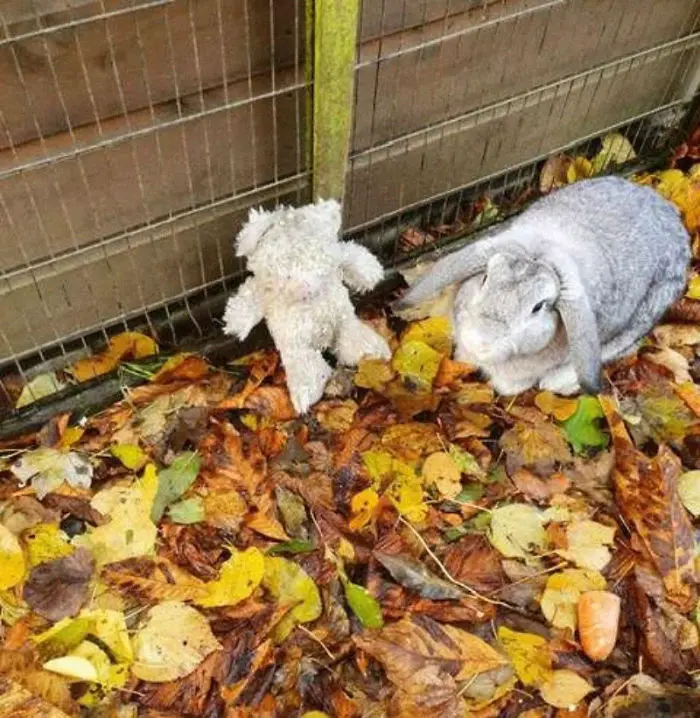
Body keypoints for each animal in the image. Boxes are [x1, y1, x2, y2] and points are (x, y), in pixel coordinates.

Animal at [396, 177, 692, 396]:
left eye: (538, 307)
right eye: (485, 277)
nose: (481, 340)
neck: (544, 251)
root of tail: (671, 214)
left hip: (644, 315)